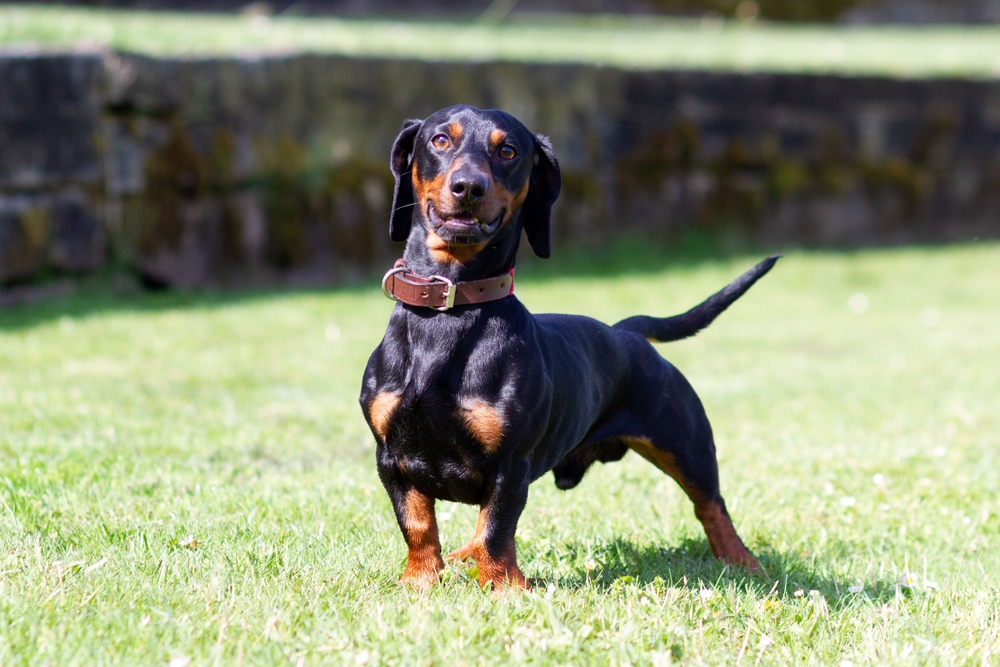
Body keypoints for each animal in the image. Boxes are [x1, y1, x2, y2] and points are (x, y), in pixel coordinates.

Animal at [356, 103, 776, 588]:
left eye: (508, 150)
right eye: (440, 140)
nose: (468, 187)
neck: (451, 309)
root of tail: (625, 332)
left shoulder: (511, 465)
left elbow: (495, 529)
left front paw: (503, 588)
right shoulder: (392, 458)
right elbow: (418, 525)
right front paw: (420, 581)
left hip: (686, 447)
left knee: (711, 506)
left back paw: (743, 562)